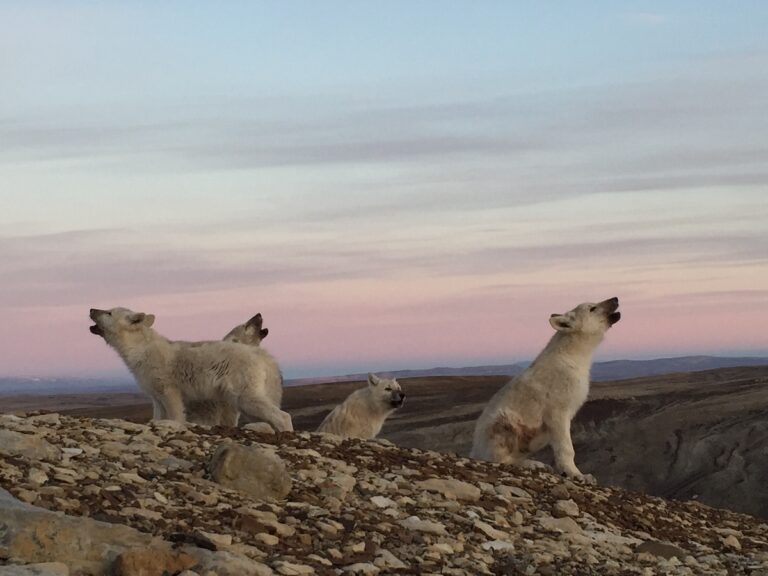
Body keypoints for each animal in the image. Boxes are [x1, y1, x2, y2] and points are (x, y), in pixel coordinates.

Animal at [89, 307, 292, 431]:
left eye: (108, 312)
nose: (91, 309)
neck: (138, 350)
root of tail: (260, 353)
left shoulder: (170, 392)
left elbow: (176, 417)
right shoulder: (156, 398)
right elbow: (157, 418)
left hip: (246, 399)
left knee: (283, 416)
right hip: (245, 405)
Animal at [470, 297, 621, 482]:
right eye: (592, 308)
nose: (615, 299)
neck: (572, 356)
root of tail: (474, 452)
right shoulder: (557, 413)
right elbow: (567, 449)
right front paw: (577, 474)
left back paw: (536, 464)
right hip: (504, 423)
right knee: (499, 459)